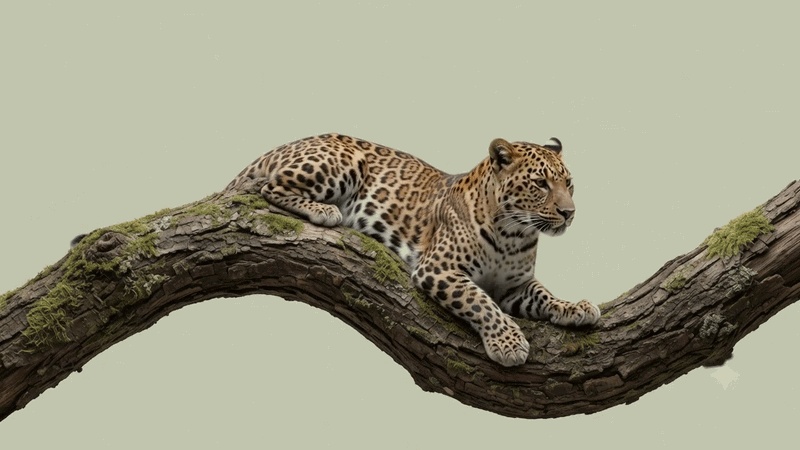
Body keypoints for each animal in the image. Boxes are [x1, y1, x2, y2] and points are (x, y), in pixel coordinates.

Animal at [224, 133, 601, 367]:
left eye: (569, 184)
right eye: (541, 184)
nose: (570, 212)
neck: (515, 234)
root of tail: (288, 143)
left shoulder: (514, 288)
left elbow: (544, 294)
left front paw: (575, 307)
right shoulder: (439, 268)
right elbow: (481, 302)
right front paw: (508, 343)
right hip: (345, 161)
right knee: (271, 187)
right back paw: (325, 210)